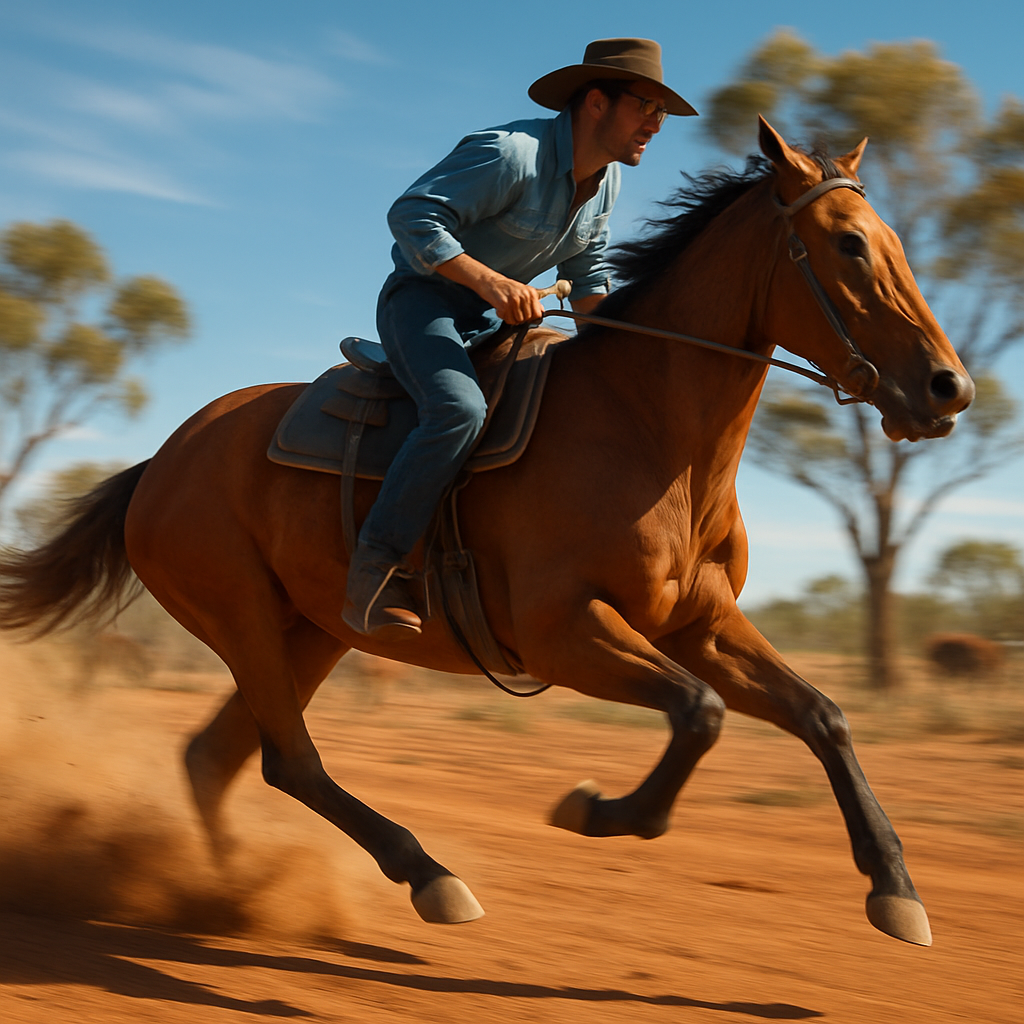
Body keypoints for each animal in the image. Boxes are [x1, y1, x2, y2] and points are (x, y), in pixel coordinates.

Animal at [0, 120, 974, 945]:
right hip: (241, 619)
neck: (646, 430)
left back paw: (237, 890)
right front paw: (597, 810)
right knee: (288, 761)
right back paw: (418, 878)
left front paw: (895, 890)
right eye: (849, 243)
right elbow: (699, 714)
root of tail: (159, 464)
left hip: (311, 631)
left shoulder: (698, 623)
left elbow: (822, 715)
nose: (948, 388)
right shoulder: (559, 632)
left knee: (221, 757)